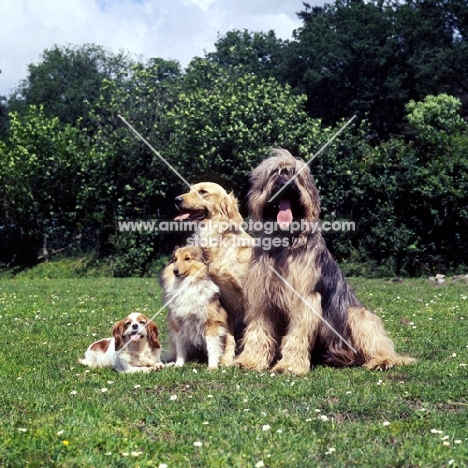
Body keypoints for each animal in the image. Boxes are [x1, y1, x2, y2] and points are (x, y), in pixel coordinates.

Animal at [234, 148, 416, 374]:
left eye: (296, 175)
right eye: (276, 173)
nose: (287, 185)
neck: (285, 241)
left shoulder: (305, 300)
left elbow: (297, 334)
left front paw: (289, 365)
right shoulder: (261, 299)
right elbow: (258, 331)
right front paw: (251, 360)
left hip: (357, 315)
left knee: (382, 347)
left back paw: (381, 361)